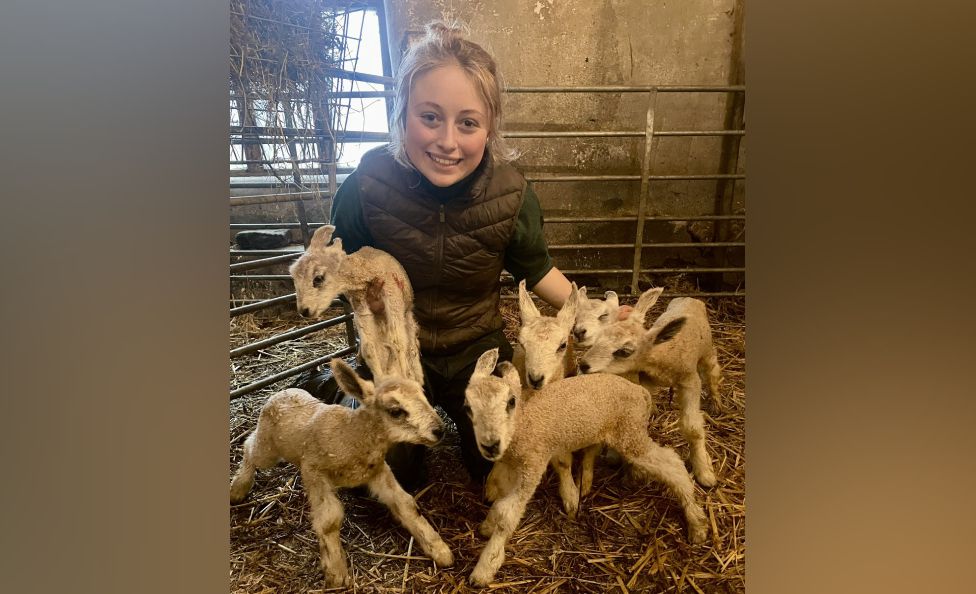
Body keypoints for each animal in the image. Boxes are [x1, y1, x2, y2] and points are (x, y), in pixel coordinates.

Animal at [231, 356, 456, 588]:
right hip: (268, 446)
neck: (352, 434)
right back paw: (238, 488)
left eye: (424, 396)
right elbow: (329, 520)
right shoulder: (313, 470)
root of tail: (280, 393)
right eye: (395, 411)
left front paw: (438, 549)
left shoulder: (377, 471)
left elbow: (405, 503)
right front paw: (336, 571)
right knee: (249, 448)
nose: (439, 430)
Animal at [290, 223, 428, 384]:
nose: (304, 311)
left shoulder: (392, 296)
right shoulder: (360, 303)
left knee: (410, 346)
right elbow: (369, 348)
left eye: (318, 278)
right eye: (293, 277)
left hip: (407, 317)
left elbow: (397, 341)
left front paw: (408, 378)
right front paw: (381, 381)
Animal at [462, 346, 704, 584]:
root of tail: (641, 393)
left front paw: (485, 568)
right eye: (468, 408)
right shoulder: (514, 466)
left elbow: (507, 514)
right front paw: (487, 526)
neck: (523, 425)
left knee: (672, 464)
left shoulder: (533, 465)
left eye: (511, 402)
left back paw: (696, 519)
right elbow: (499, 499)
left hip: (630, 433)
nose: (490, 445)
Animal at [580, 286, 724, 486]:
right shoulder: (642, 380)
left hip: (707, 351)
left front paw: (704, 471)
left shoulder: (690, 381)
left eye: (624, 351)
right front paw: (616, 457)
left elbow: (692, 428)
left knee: (712, 372)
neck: (662, 354)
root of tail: (690, 298)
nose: (583, 365)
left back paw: (716, 403)